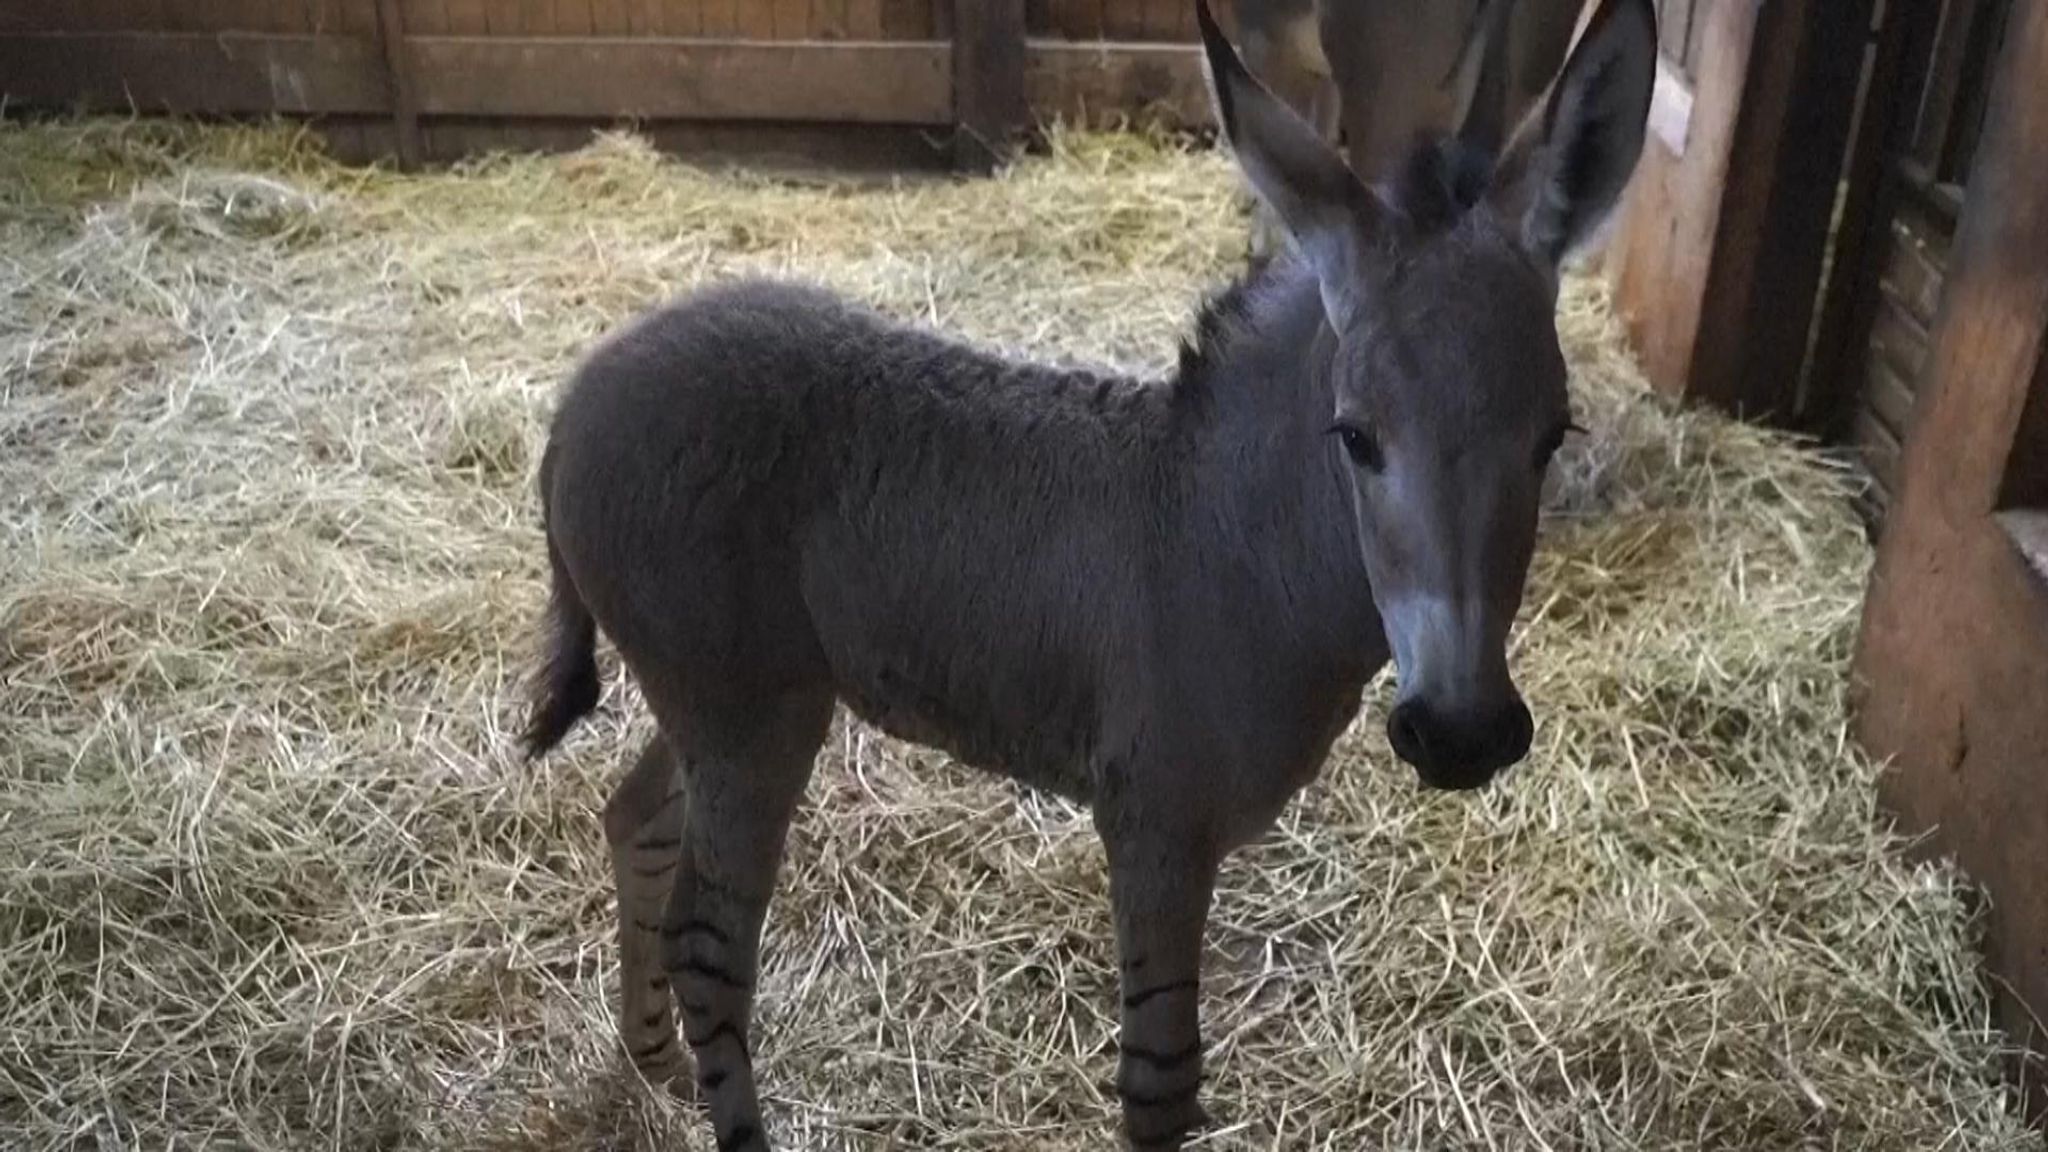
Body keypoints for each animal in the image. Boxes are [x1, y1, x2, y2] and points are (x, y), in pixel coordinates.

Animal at [520, 4, 1654, 1139]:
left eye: (1551, 439)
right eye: (1355, 438)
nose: (1461, 736)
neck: (1221, 533)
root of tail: (579, 398)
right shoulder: (1152, 829)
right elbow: (1159, 1086)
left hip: (735, 704)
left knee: (636, 824)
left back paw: (654, 1063)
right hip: (750, 723)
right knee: (709, 951)